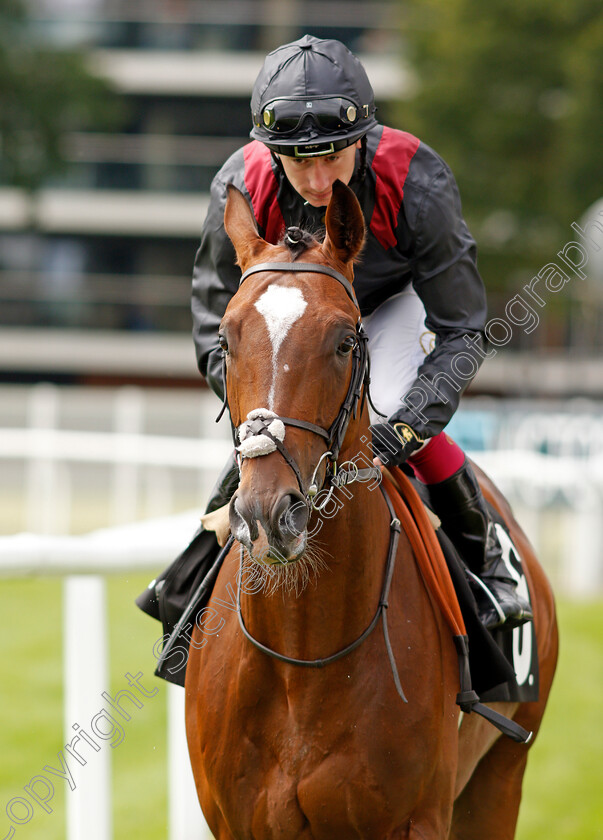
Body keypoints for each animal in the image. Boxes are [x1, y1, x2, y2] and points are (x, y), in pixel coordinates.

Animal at [186, 182, 560, 840]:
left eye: (343, 341)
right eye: (227, 340)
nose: (267, 514)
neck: (304, 656)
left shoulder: (416, 818)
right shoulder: (233, 821)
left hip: (500, 777)